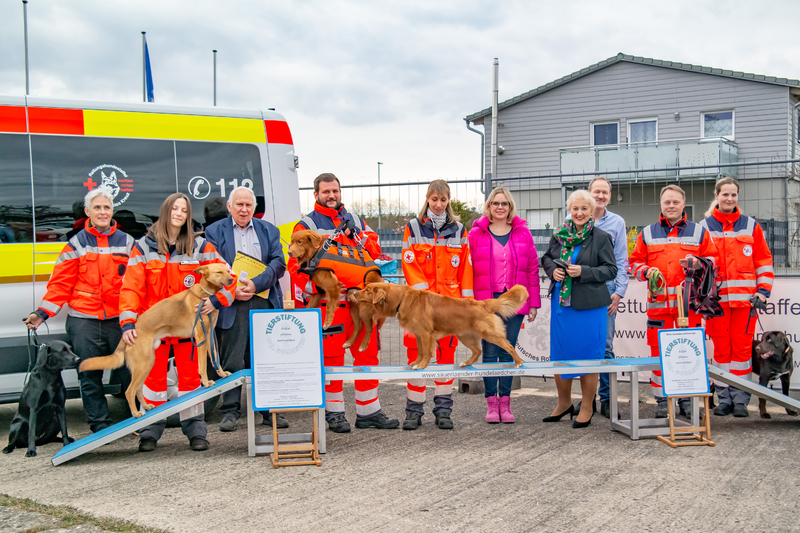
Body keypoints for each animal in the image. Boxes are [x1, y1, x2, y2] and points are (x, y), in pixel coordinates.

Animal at [79, 264, 233, 418]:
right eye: (219, 272)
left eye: (228, 271)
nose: (232, 279)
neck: (205, 295)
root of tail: (126, 336)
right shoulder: (201, 338)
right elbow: (202, 365)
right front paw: (206, 382)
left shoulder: (210, 337)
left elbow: (216, 360)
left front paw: (222, 374)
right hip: (143, 366)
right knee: (130, 391)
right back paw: (136, 413)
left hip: (147, 364)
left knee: (138, 389)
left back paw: (146, 407)